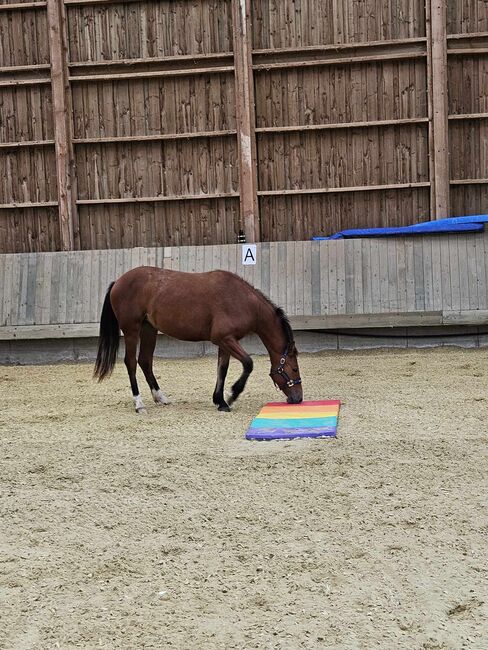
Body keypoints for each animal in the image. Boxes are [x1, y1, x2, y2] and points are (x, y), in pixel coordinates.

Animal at [93, 266, 304, 412]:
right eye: (294, 368)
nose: (298, 398)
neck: (242, 300)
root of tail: (118, 281)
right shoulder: (224, 339)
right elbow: (248, 363)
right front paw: (232, 395)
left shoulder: (225, 342)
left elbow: (222, 369)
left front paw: (220, 401)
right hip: (131, 330)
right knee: (131, 363)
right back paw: (139, 404)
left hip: (149, 329)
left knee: (145, 361)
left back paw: (160, 397)